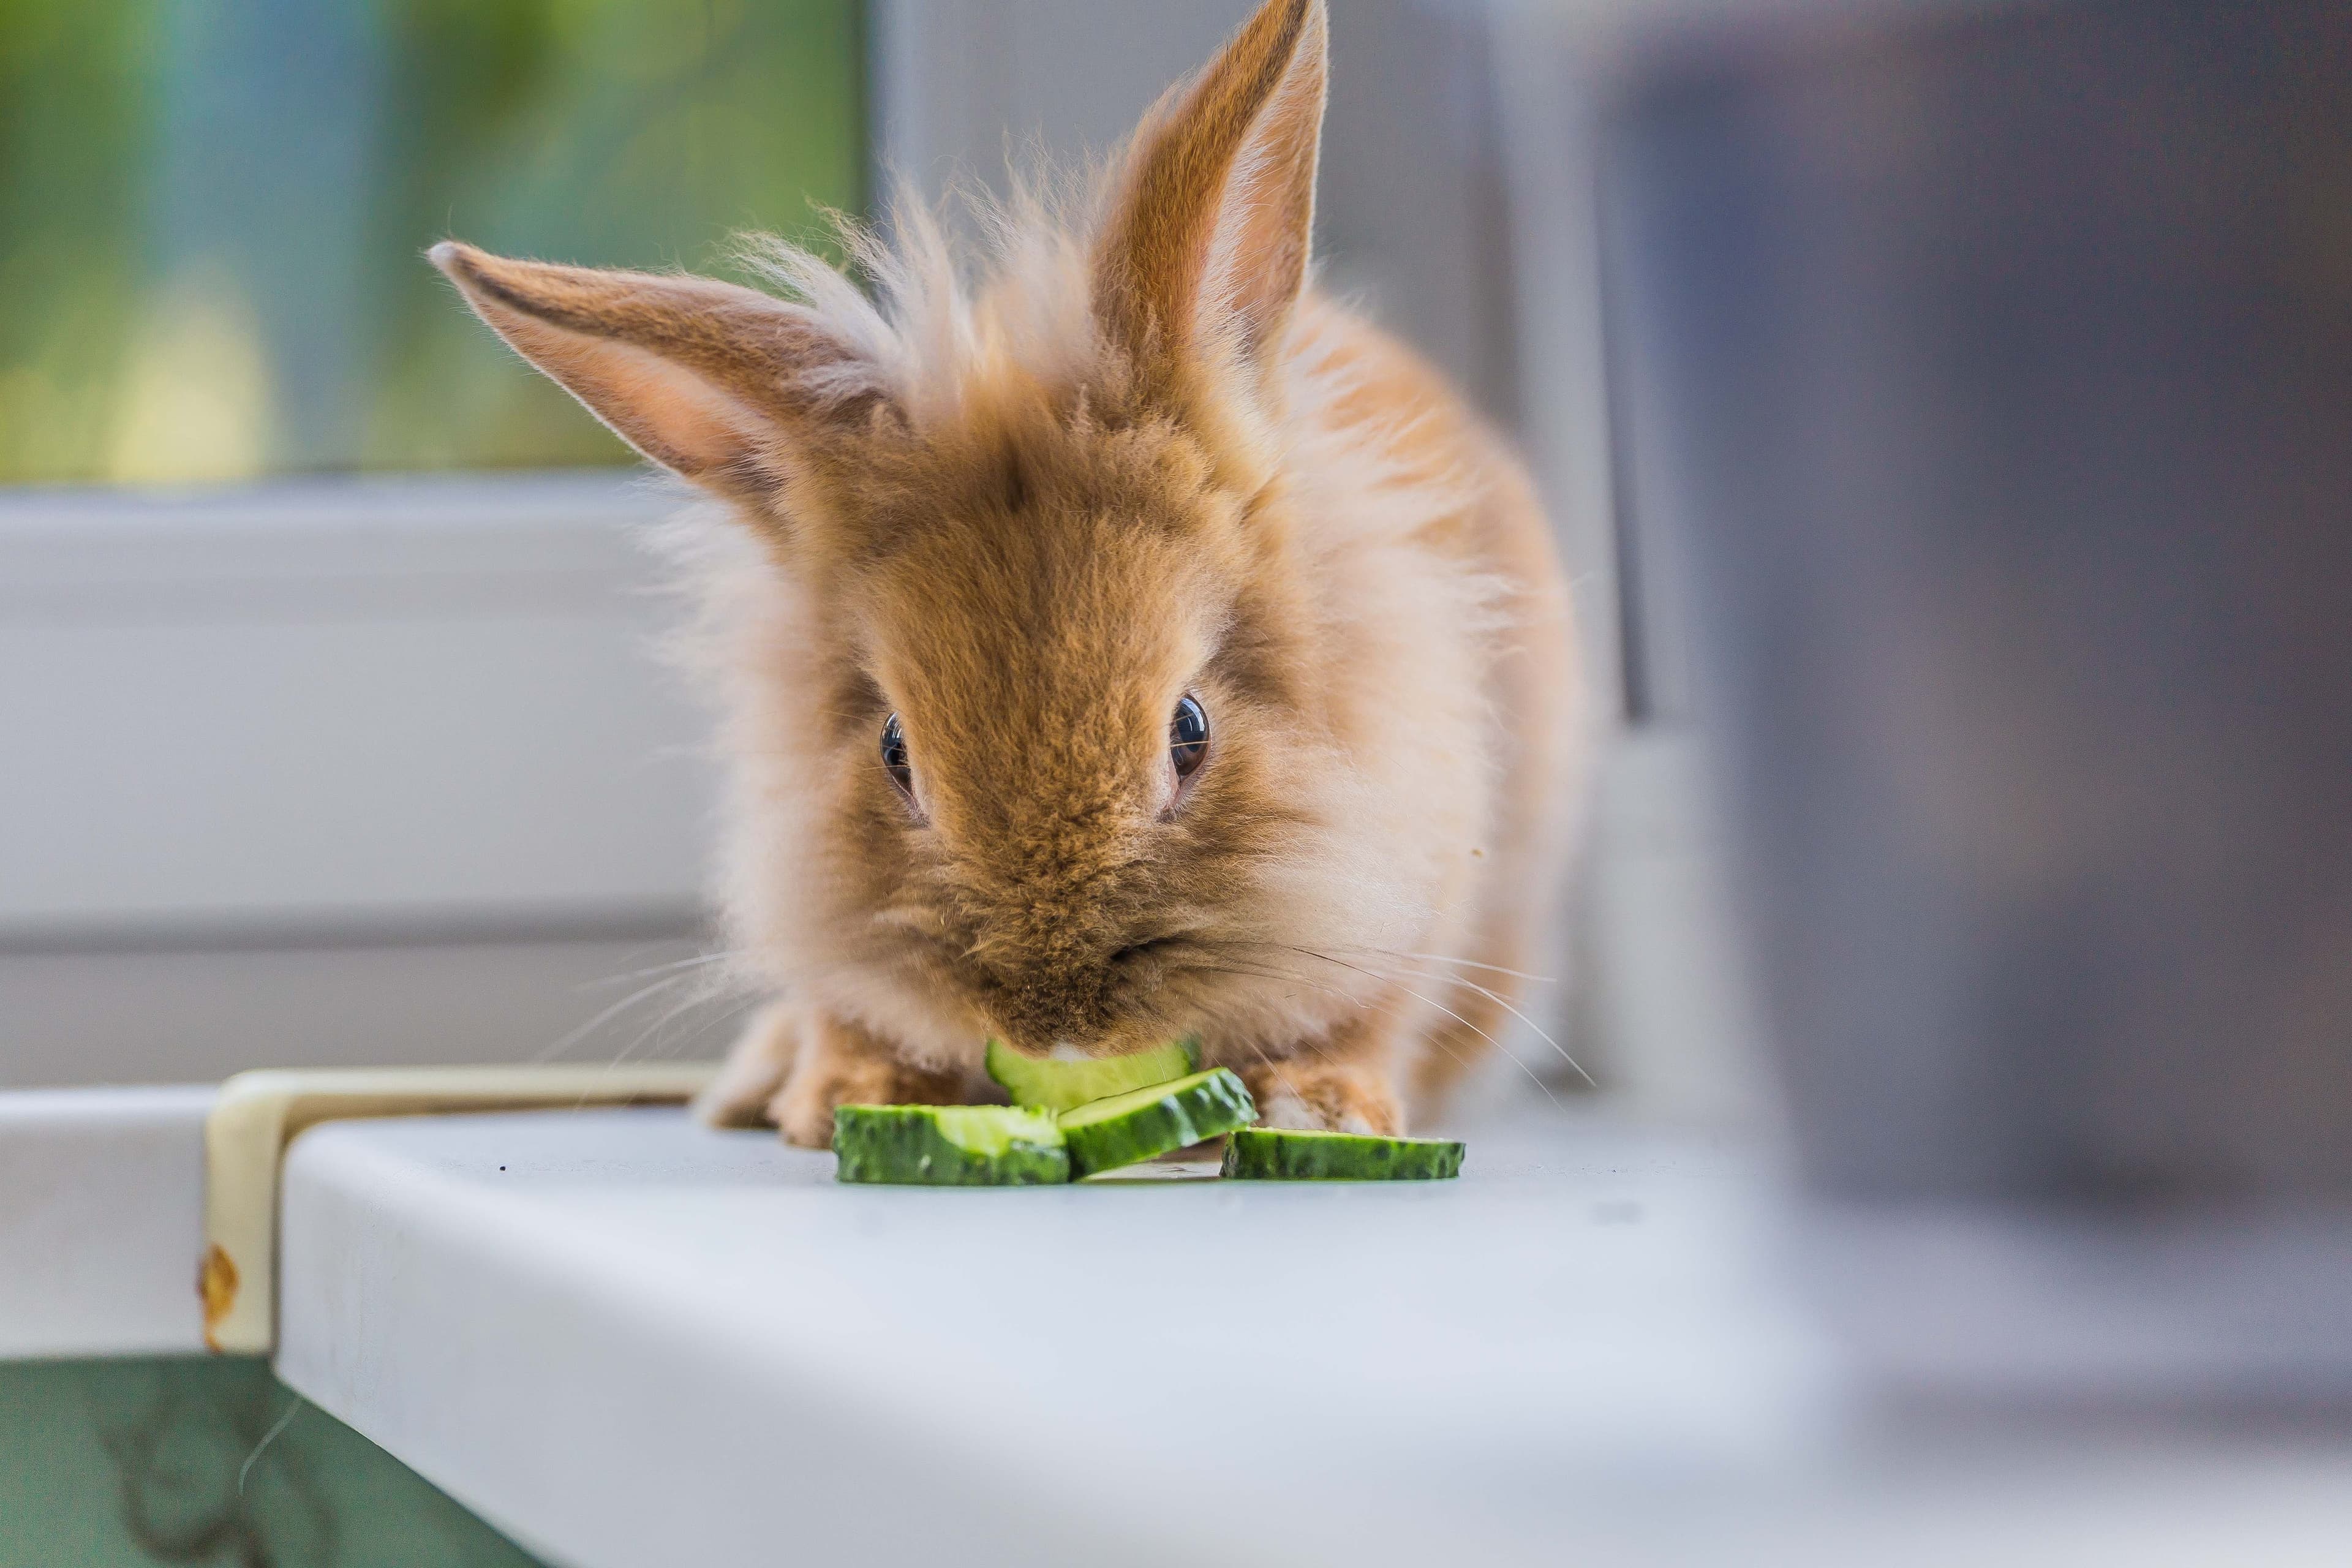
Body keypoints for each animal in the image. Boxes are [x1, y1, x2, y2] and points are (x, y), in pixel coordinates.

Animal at [432, 0, 1587, 1147]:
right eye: (896, 753)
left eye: (1191, 731)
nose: (1055, 1024)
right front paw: (844, 1095)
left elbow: (1377, 1012)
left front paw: (1324, 1106)